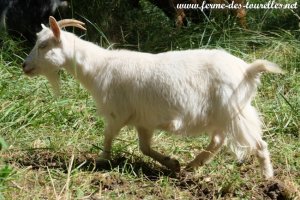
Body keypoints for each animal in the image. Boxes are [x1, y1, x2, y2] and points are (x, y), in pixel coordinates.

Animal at [22, 16, 282, 178]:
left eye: (43, 45)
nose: (24, 66)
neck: (100, 67)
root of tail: (247, 69)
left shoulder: (117, 113)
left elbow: (107, 137)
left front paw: (101, 160)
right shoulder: (143, 120)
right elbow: (145, 148)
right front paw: (172, 163)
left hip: (235, 112)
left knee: (258, 144)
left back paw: (267, 177)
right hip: (222, 115)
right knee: (217, 141)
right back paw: (192, 165)